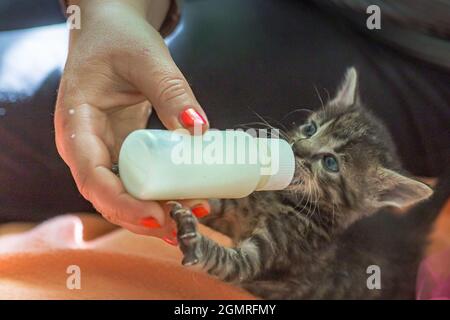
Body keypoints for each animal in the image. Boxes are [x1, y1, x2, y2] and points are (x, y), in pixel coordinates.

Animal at [169, 68, 436, 300]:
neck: (283, 198)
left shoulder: (267, 257)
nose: (296, 148)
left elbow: (228, 262)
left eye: (330, 162)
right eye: (310, 128)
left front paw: (195, 242)